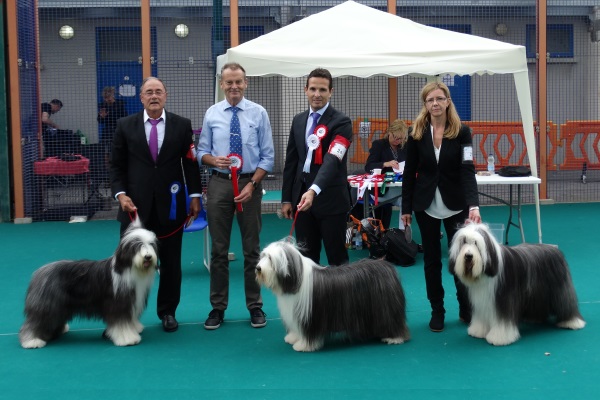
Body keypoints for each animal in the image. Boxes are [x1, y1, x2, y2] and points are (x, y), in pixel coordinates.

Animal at [20, 217, 158, 348]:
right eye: (137, 246)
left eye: (151, 244)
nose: (148, 257)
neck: (130, 269)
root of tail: (40, 271)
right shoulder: (119, 304)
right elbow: (122, 323)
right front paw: (128, 339)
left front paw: (135, 328)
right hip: (48, 305)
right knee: (36, 322)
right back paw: (32, 341)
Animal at [255, 239, 410, 352]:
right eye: (263, 255)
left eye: (270, 258)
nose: (258, 268)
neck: (296, 280)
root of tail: (388, 267)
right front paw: (293, 338)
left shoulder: (309, 318)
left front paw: (303, 346)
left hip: (386, 308)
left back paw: (394, 338)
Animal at [450, 223, 584, 346]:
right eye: (463, 242)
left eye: (476, 243)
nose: (468, 256)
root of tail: (554, 249)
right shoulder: (482, 301)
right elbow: (481, 317)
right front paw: (478, 331)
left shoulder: (504, 299)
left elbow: (503, 321)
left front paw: (499, 337)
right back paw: (535, 318)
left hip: (559, 289)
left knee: (566, 304)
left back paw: (572, 322)